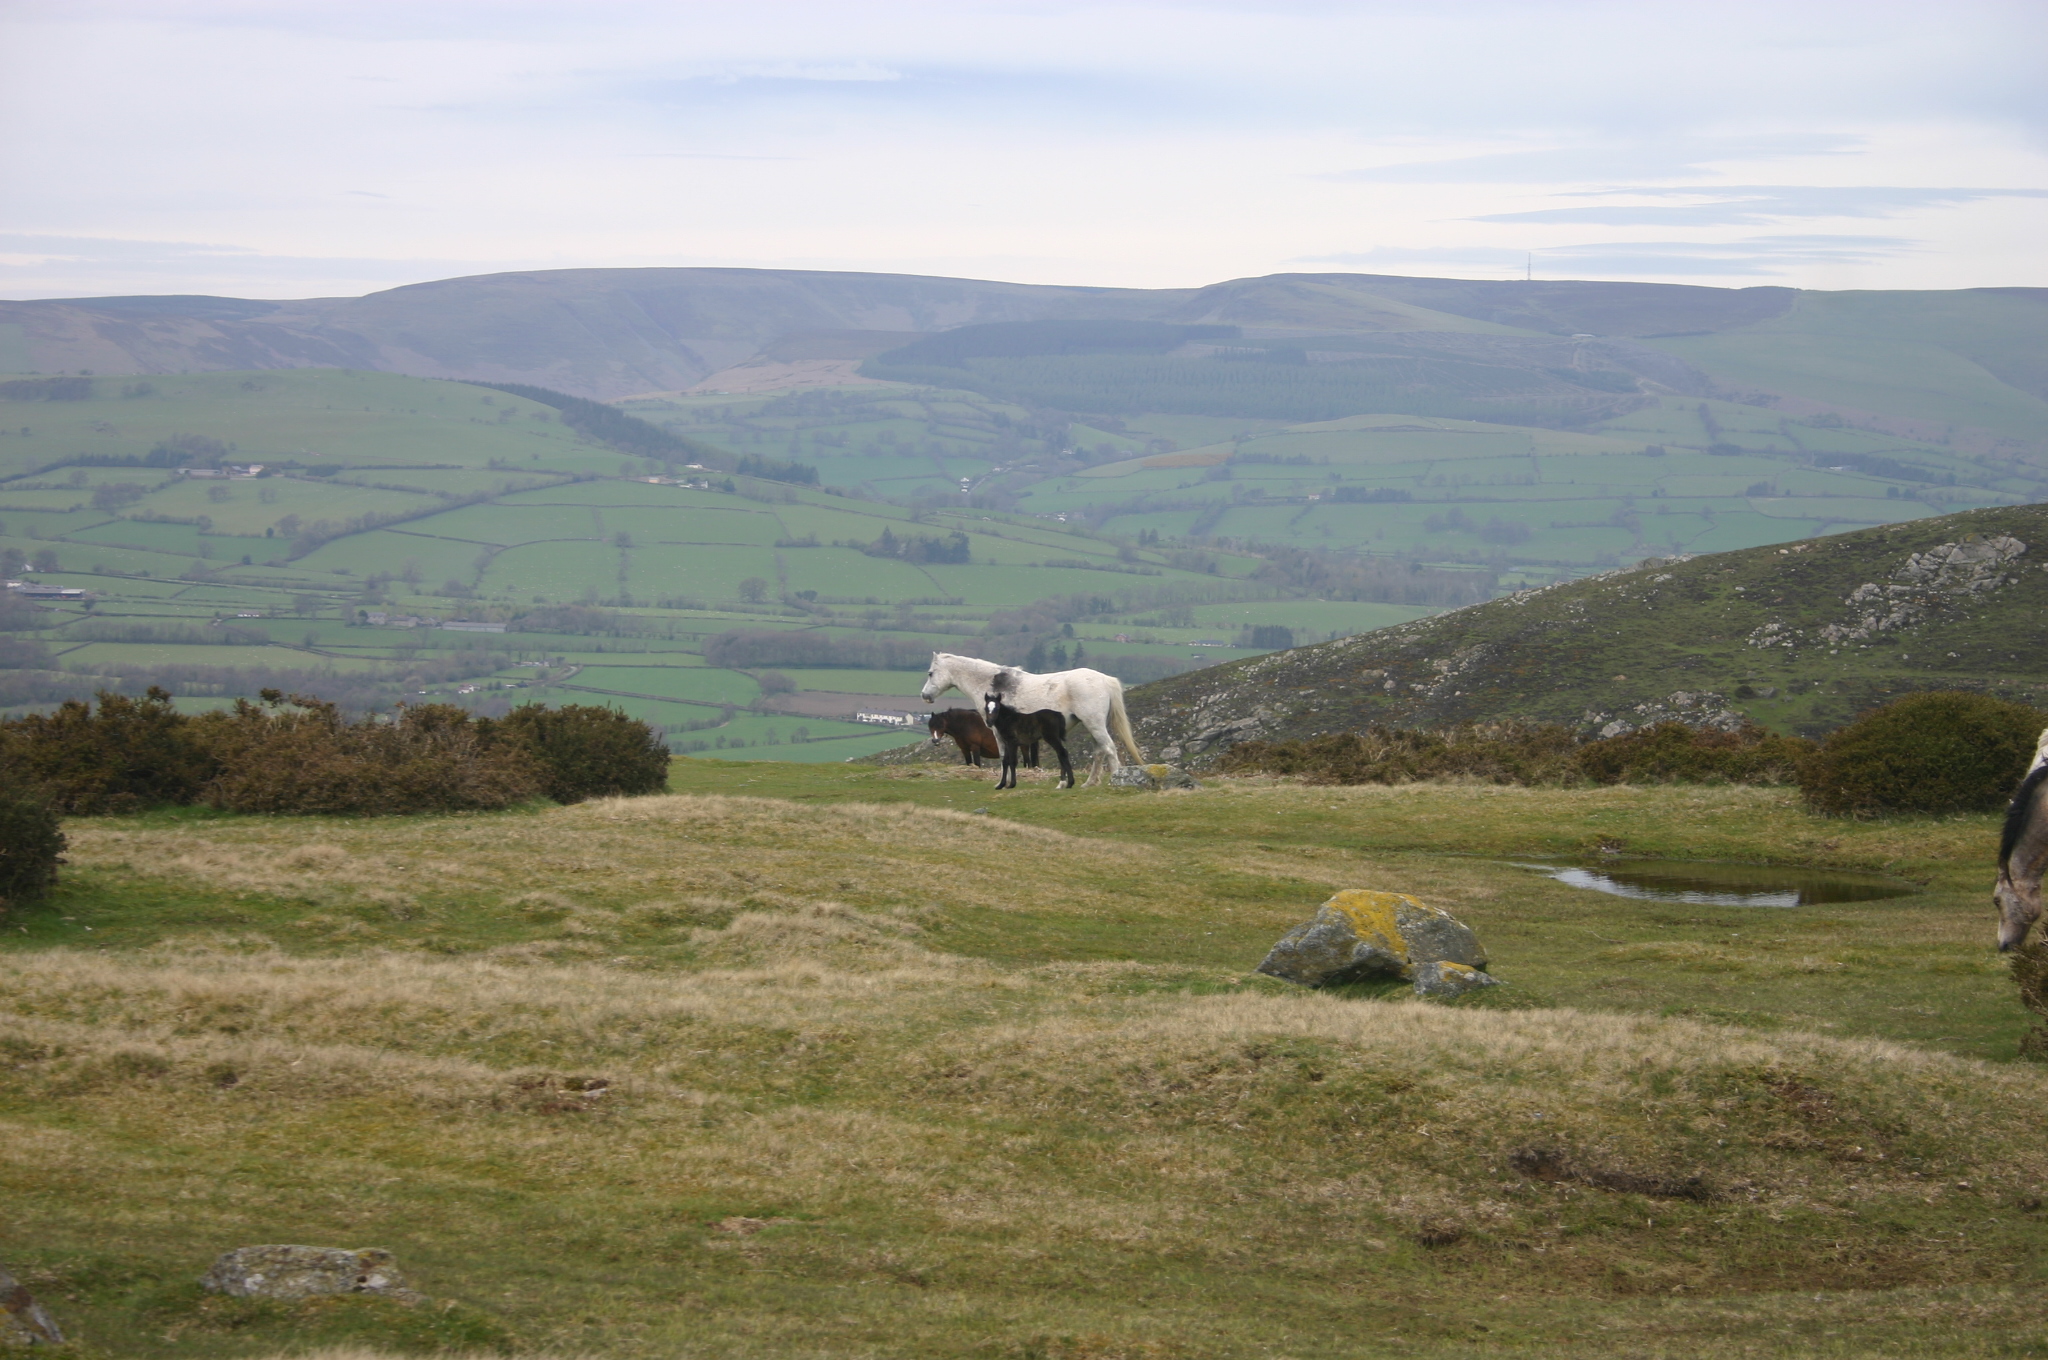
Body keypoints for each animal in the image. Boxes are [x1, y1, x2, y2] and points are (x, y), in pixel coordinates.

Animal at [921, 651, 1146, 782]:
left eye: (930, 673)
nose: (925, 695)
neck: (993, 688)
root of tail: (1105, 679)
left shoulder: (1000, 733)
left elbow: (1005, 757)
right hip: (1092, 726)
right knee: (1100, 752)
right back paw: (1089, 783)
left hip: (1095, 725)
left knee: (1109, 749)